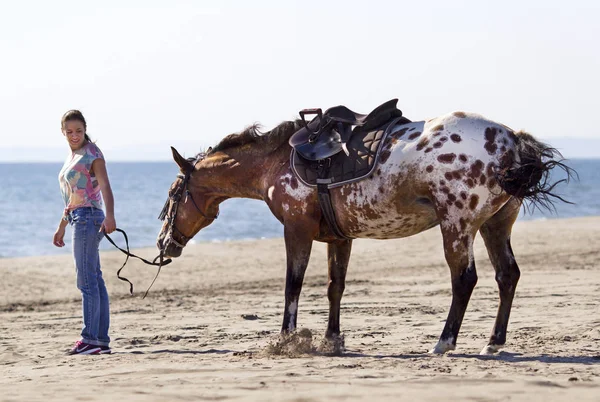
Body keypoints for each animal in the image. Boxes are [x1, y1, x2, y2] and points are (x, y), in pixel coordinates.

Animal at [156, 108, 572, 354]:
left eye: (173, 194)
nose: (163, 244)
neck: (277, 162)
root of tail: (513, 141)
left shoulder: (297, 230)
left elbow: (293, 285)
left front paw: (287, 338)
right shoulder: (339, 238)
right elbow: (334, 287)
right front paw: (332, 338)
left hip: (458, 226)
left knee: (465, 279)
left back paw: (444, 341)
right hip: (495, 225)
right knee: (507, 276)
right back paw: (493, 342)